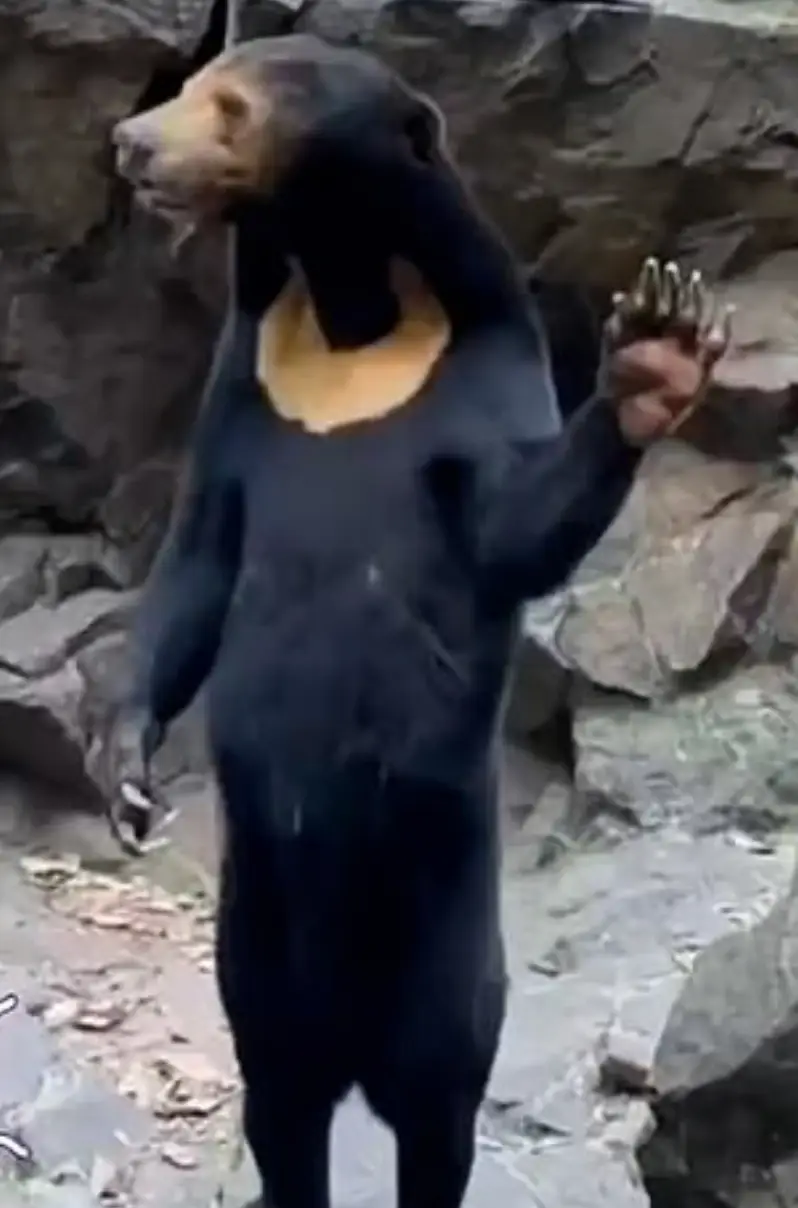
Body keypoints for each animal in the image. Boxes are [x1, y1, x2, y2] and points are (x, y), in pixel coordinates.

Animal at [107, 34, 732, 1208]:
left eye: (228, 104)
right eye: (192, 85)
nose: (128, 142)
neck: (351, 306)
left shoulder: (476, 368)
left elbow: (514, 522)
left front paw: (657, 344)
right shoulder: (248, 382)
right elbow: (201, 555)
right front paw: (123, 775)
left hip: (442, 919)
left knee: (437, 1096)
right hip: (255, 937)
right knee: (282, 1093)